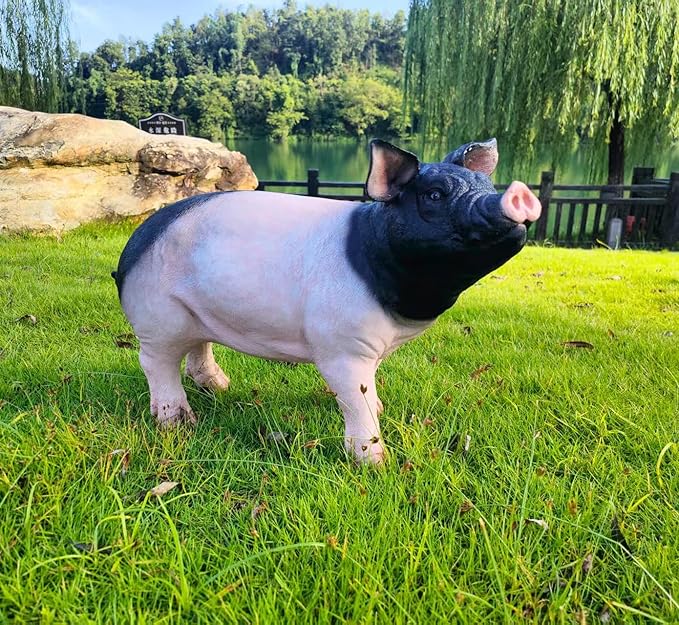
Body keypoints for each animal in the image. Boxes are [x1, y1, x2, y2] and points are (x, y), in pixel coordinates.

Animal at [113, 139, 541, 463]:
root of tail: (132, 246)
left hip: (194, 314)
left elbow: (370, 389)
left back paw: (221, 387)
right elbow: (354, 397)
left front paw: (381, 409)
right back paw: (178, 422)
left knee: (197, 347)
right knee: (155, 363)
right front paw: (374, 463)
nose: (516, 194)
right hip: (157, 315)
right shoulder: (342, 347)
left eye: (485, 185)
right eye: (434, 195)